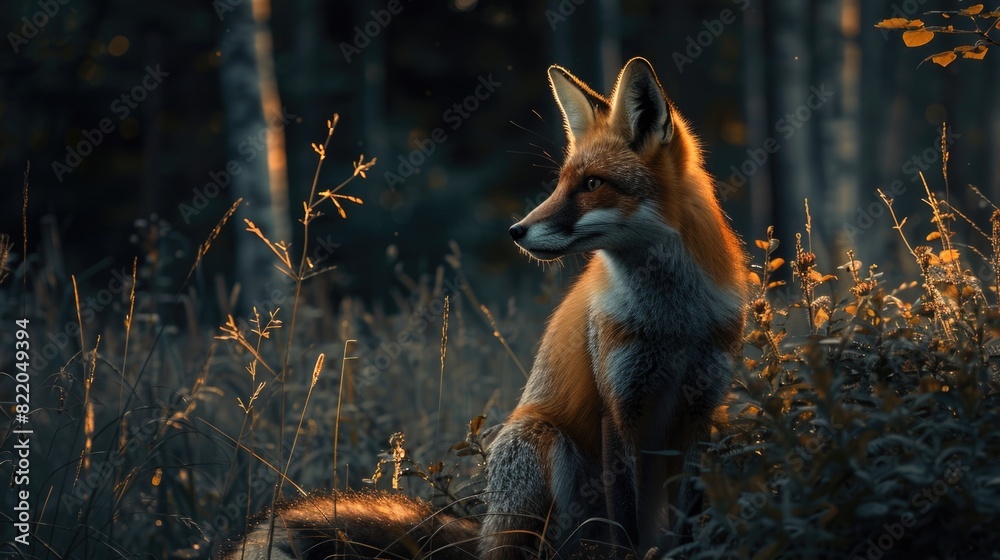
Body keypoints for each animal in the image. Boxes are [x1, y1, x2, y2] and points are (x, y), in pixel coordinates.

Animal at [219, 57, 746, 560]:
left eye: (593, 183)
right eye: (561, 184)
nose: (515, 231)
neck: (673, 322)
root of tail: (483, 531)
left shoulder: (702, 411)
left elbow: (687, 528)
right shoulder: (618, 407)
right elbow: (626, 533)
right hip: (539, 443)